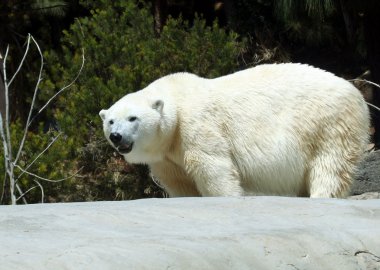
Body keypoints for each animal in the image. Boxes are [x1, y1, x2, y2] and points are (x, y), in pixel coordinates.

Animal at [99, 63, 370, 198]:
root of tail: (356, 93)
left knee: (329, 167)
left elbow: (212, 168)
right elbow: (179, 182)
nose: (116, 136)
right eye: (110, 121)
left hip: (327, 125)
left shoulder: (196, 125)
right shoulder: (166, 157)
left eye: (132, 118)